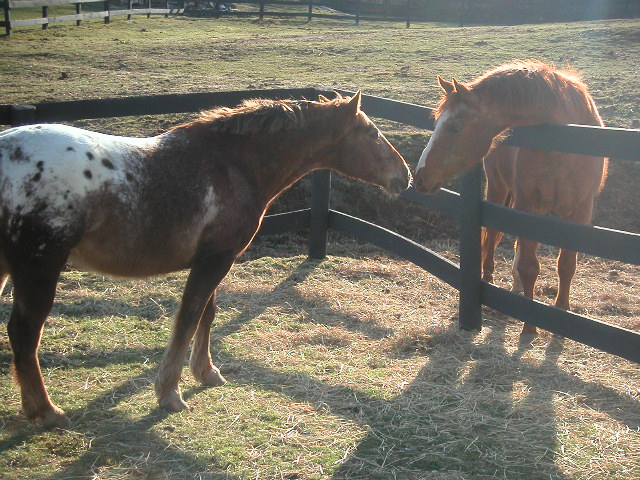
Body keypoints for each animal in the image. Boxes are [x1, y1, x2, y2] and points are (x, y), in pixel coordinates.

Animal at [0, 92, 411, 428]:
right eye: (372, 133)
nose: (404, 176)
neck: (235, 165)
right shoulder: (216, 260)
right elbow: (189, 317)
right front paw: (170, 394)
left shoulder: (214, 257)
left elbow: (207, 315)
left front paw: (206, 372)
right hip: (39, 270)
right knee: (24, 333)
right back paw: (46, 411)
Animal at [414, 60, 607, 336]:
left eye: (456, 128)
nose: (420, 176)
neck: (565, 140)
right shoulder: (529, 206)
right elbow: (529, 266)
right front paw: (530, 325)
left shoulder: (580, 210)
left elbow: (567, 264)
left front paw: (561, 313)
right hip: (499, 190)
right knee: (491, 236)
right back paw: (489, 279)